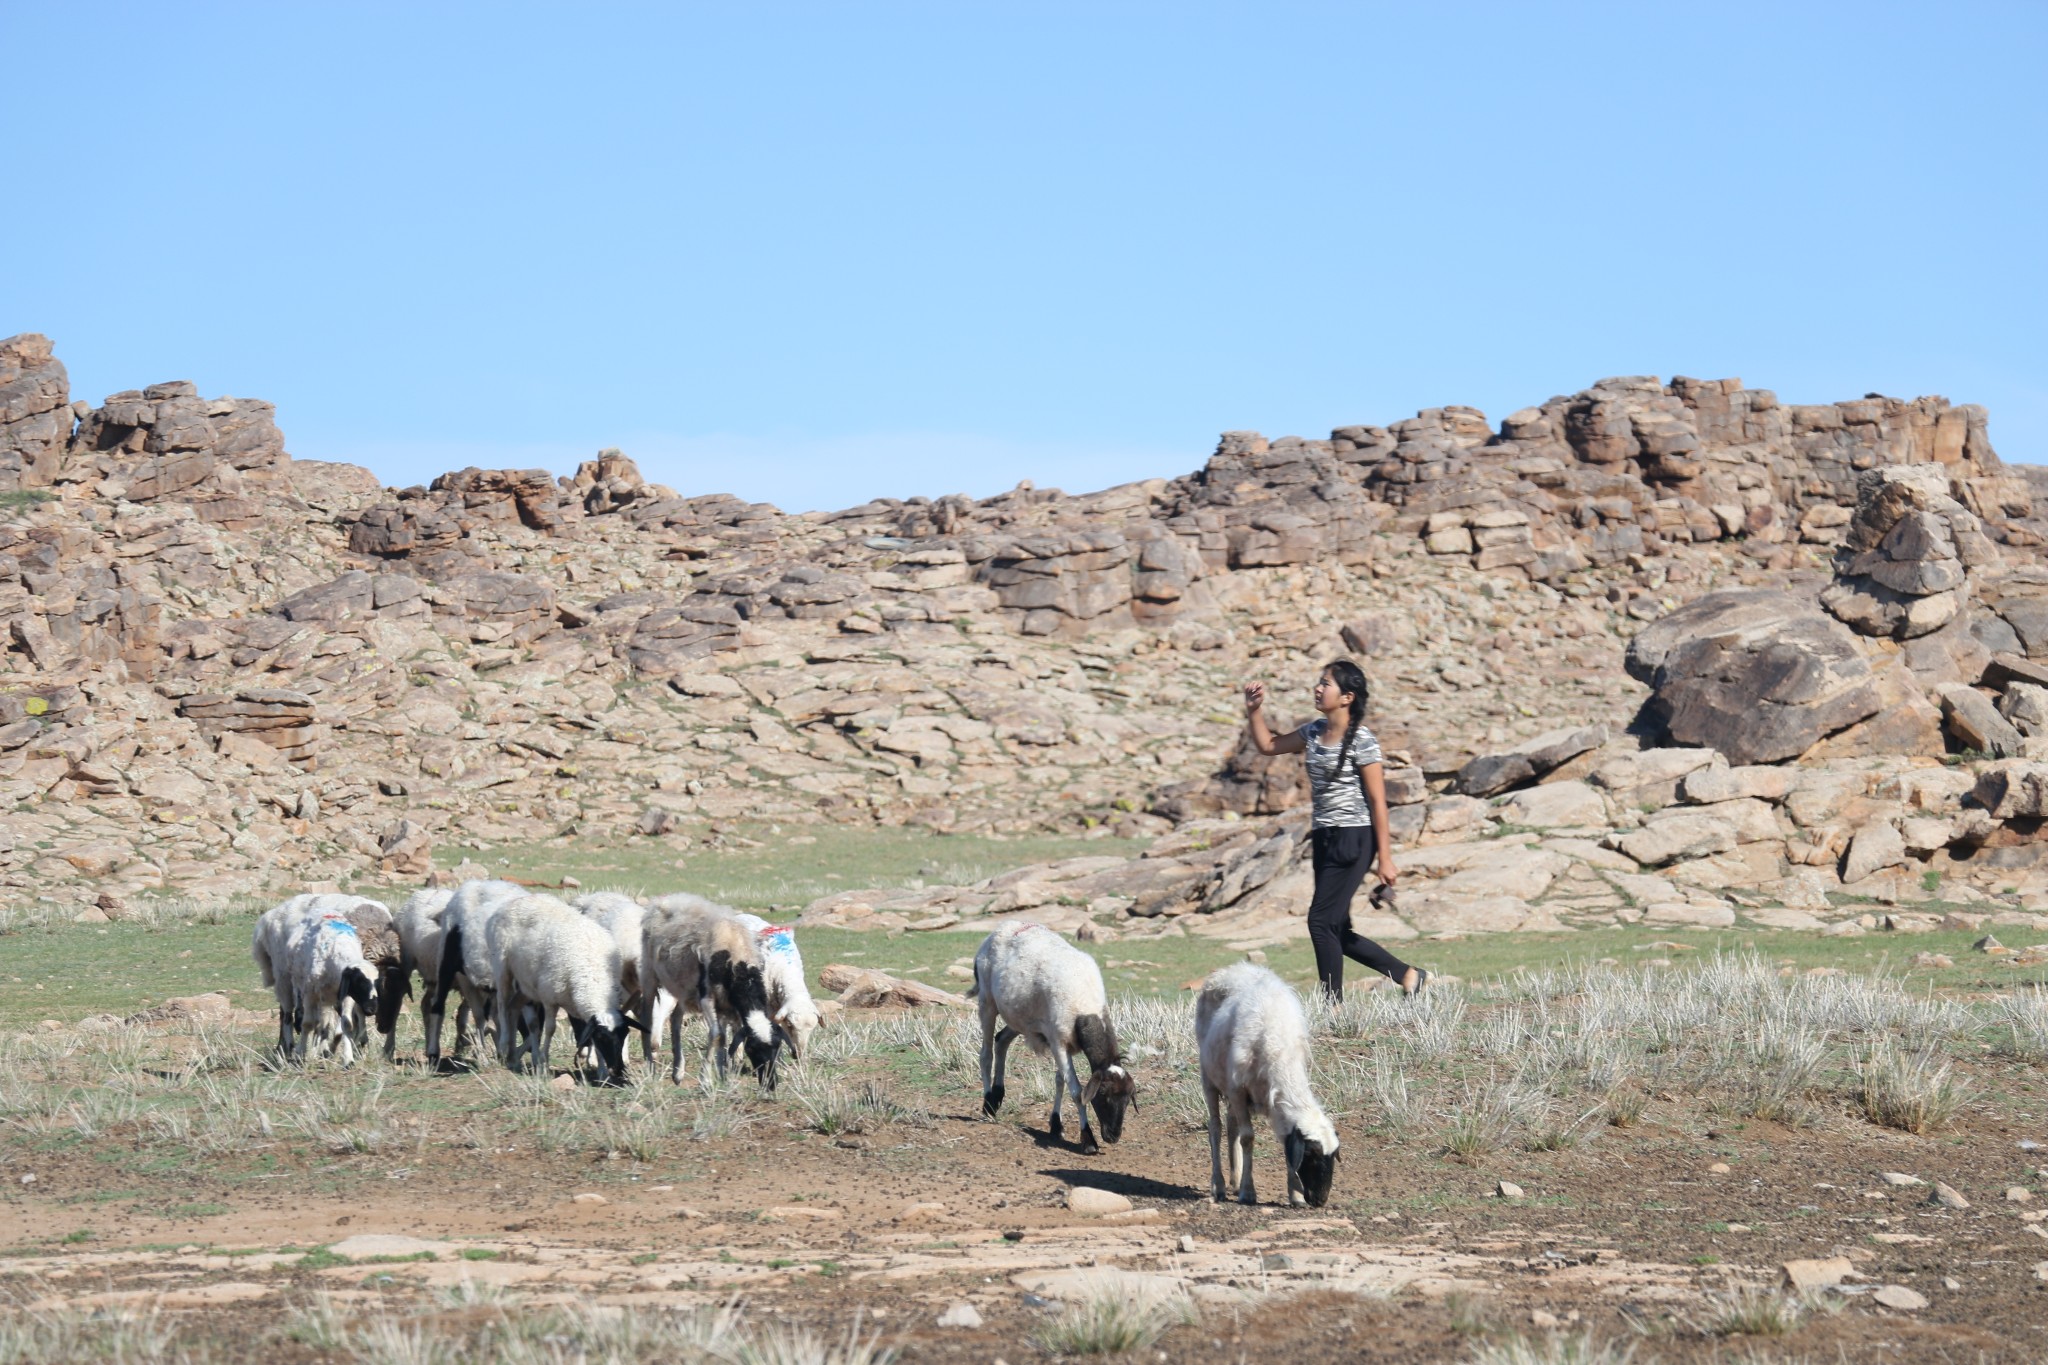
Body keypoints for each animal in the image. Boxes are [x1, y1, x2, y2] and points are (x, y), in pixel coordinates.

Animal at [487, 896, 630, 1088]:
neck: (593, 974)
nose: (619, 1069)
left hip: (527, 985)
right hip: (502, 967)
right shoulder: (549, 998)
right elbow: (549, 1029)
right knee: (502, 1004)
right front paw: (544, 1064)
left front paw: (602, 1073)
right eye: (603, 1038)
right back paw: (504, 1046)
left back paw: (512, 1057)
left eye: (624, 1035)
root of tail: (514, 901)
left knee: (513, 1008)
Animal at [643, 896, 778, 1088]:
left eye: (777, 1047)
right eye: (752, 1049)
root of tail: (668, 899)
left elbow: (724, 1039)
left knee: (675, 1020)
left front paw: (724, 1076)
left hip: (683, 989)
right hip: (649, 977)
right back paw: (650, 1067)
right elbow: (716, 1035)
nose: (771, 1083)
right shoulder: (707, 999)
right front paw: (705, 1080)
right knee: (647, 1018)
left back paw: (678, 1072)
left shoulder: (726, 1004)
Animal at [970, 916, 1138, 1154]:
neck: (1085, 1006)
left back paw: (996, 1097)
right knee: (985, 1054)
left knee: (1001, 1040)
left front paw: (1056, 1125)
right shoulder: (1058, 1042)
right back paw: (987, 1104)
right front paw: (1088, 1139)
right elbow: (1076, 1091)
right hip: (987, 1001)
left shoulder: (1061, 1042)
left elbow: (1060, 1080)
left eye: (1127, 1099)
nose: (1113, 1136)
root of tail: (1005, 925)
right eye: (1103, 1096)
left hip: (1021, 1018)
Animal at [1196, 961, 1335, 1203]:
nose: (1320, 1200)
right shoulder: (1238, 1090)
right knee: (1215, 1126)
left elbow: (1285, 1144)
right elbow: (1248, 1138)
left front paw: (1295, 1195)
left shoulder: (1271, 1098)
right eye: (1310, 1154)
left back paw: (1235, 1179)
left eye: (1332, 1157)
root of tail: (1231, 968)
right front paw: (1248, 1192)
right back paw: (1219, 1186)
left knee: (1231, 1124)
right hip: (1209, 1078)